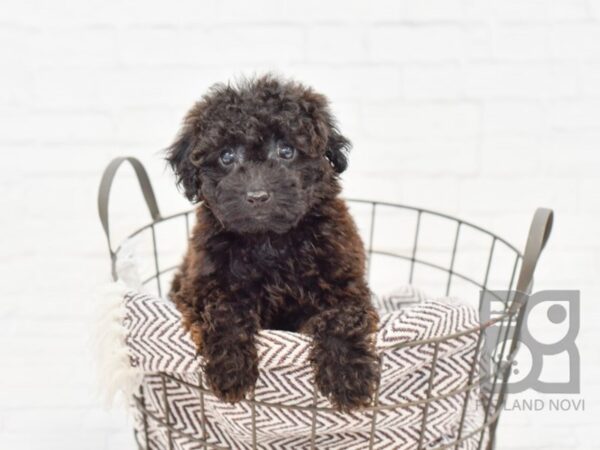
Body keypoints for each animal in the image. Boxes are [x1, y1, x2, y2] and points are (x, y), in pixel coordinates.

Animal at [166, 74, 378, 412]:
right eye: (226, 156)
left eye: (286, 151)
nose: (257, 196)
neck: (268, 241)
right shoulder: (197, 286)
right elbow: (223, 308)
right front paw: (230, 369)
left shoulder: (345, 281)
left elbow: (342, 318)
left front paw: (349, 377)